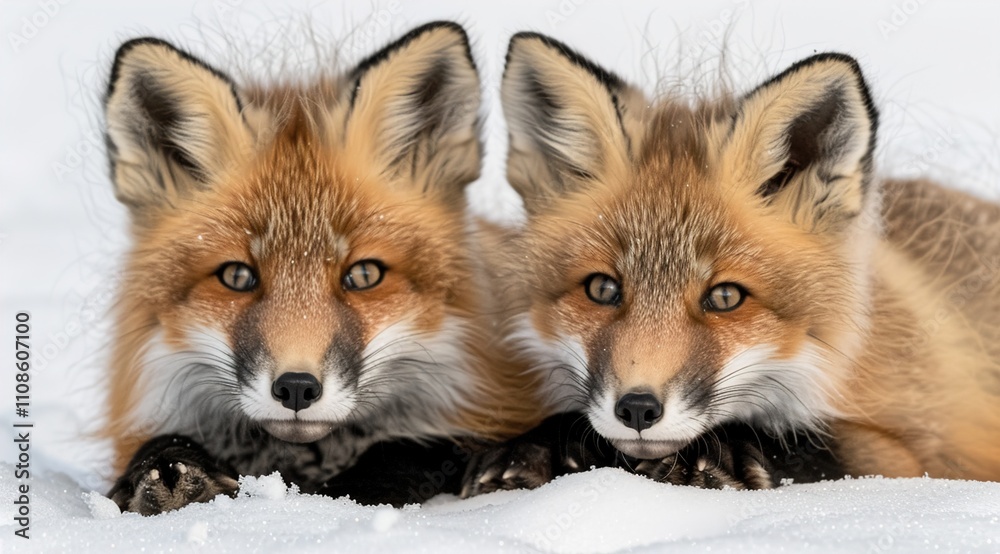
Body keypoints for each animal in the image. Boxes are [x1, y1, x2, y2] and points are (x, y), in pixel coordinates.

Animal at [99, 22, 544, 514]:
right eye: (237, 276)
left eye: (364, 275)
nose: (296, 387)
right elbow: (160, 446)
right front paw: (166, 468)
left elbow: (403, 452)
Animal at [464, 32, 1000, 494]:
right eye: (602, 289)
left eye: (725, 297)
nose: (637, 409)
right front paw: (533, 446)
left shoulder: (912, 453)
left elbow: (816, 439)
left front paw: (729, 451)